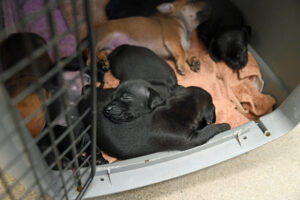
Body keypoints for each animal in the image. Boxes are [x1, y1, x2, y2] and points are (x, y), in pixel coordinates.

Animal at [79, 79, 230, 159]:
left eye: (126, 97)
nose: (107, 109)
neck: (180, 107)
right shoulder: (190, 139)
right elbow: (208, 129)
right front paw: (223, 126)